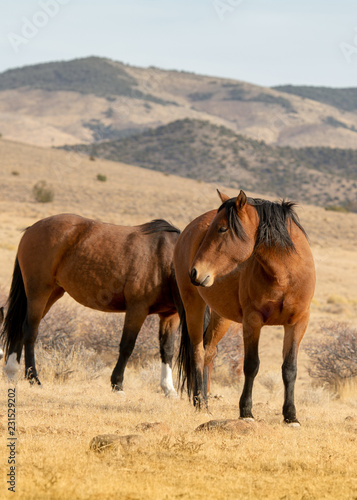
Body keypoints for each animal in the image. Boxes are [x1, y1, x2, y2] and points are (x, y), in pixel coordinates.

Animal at [1, 215, 181, 394]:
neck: (164, 259)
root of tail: (32, 228)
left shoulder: (170, 316)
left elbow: (167, 350)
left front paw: (169, 388)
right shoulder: (137, 309)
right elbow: (127, 346)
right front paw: (117, 384)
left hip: (52, 293)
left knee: (20, 327)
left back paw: (12, 373)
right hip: (39, 292)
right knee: (30, 330)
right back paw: (34, 378)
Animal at [175, 189, 314, 424]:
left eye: (222, 228)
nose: (195, 272)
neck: (285, 275)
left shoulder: (297, 323)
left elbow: (290, 368)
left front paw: (291, 415)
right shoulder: (252, 322)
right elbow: (251, 365)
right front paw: (246, 412)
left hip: (221, 316)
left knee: (209, 352)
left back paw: (205, 401)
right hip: (193, 304)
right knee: (197, 352)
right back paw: (200, 403)